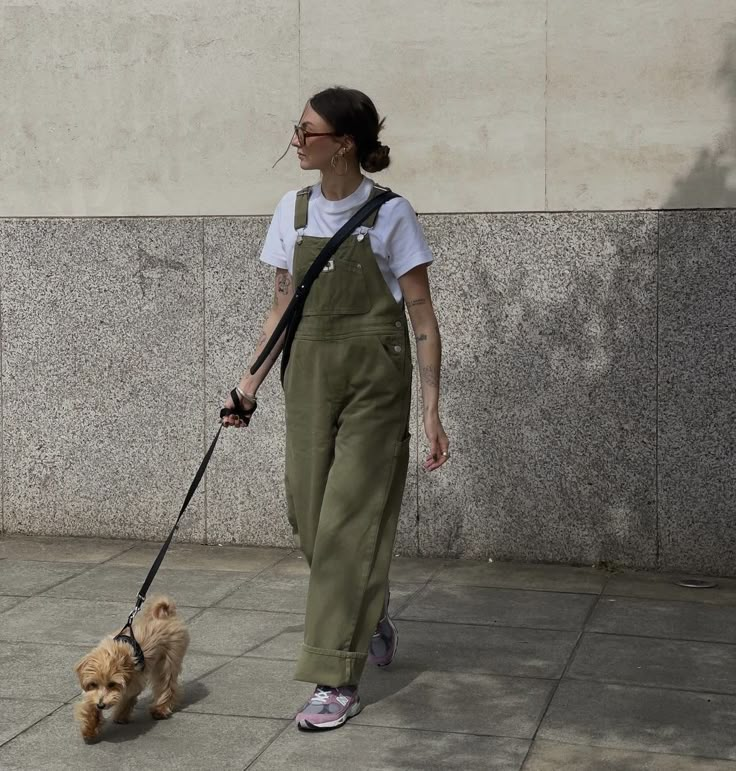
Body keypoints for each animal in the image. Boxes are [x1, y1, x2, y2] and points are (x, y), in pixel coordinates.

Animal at [73, 596, 188, 740]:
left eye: (112, 684)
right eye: (93, 684)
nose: (101, 705)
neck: (115, 653)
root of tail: (165, 616)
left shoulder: (135, 682)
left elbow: (128, 698)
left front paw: (120, 716)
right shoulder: (92, 693)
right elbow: (90, 704)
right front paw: (89, 728)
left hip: (169, 661)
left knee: (167, 685)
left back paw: (160, 709)